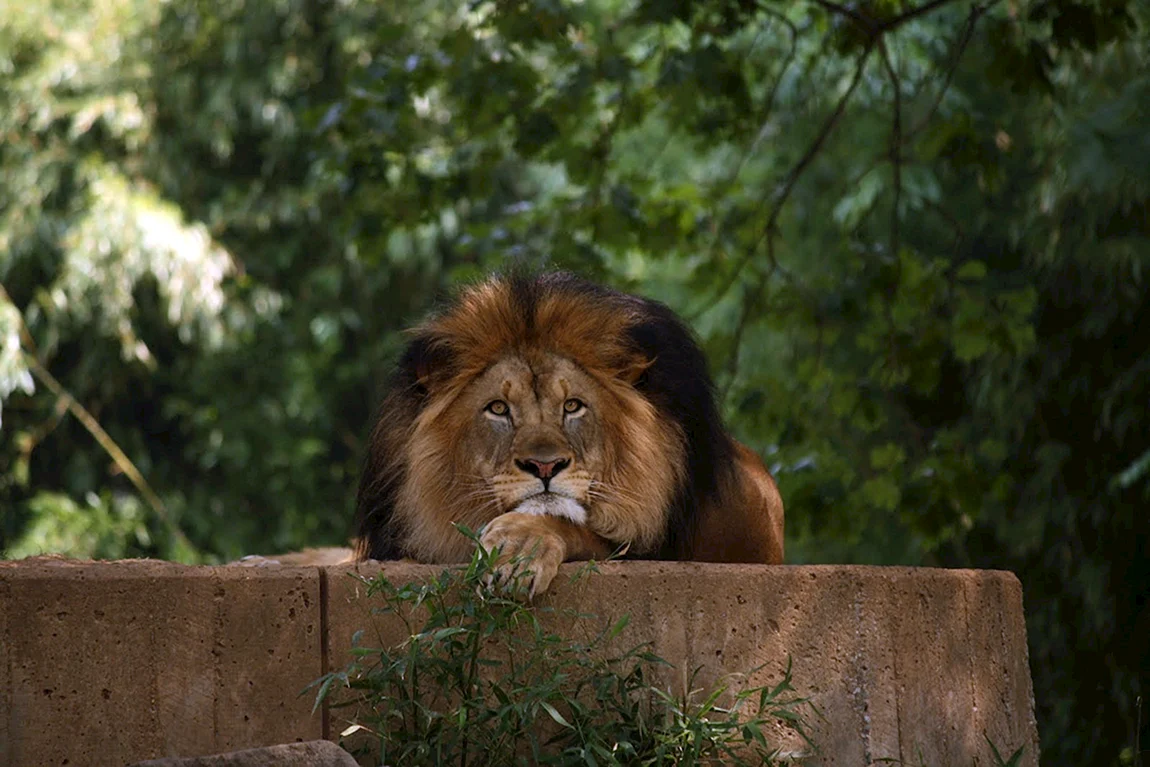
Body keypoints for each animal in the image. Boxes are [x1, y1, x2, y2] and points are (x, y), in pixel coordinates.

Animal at [352, 271, 783, 597]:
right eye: (498, 408)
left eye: (573, 406)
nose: (545, 466)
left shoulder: (657, 547)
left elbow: (573, 526)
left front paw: (517, 552)